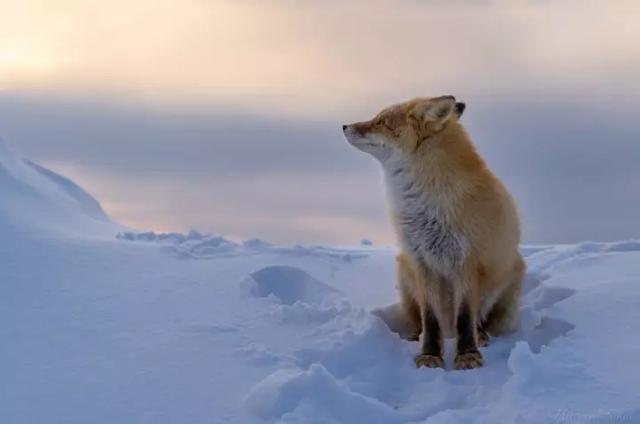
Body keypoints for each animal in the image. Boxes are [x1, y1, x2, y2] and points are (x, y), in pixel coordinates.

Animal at [344, 95, 524, 368]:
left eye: (382, 122)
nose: (344, 126)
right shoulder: (422, 261)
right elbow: (429, 319)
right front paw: (429, 355)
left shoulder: (466, 261)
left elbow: (465, 318)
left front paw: (467, 355)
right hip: (404, 272)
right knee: (422, 321)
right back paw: (417, 336)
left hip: (509, 275)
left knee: (477, 319)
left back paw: (480, 335)